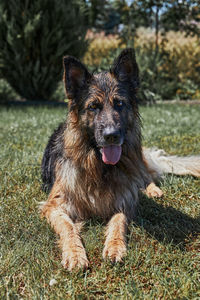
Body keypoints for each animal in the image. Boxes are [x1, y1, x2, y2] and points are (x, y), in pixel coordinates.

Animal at [40, 48, 200, 270]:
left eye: (120, 104)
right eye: (93, 106)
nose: (111, 135)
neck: (99, 167)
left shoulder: (124, 199)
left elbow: (118, 222)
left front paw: (115, 246)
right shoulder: (54, 205)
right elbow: (68, 227)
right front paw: (74, 253)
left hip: (136, 160)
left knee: (145, 178)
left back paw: (153, 190)